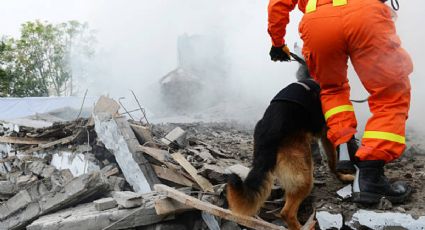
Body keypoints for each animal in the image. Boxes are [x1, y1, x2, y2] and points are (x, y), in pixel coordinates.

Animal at [227, 53, 352, 228]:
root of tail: (267, 135)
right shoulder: (327, 134)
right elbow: (333, 161)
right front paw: (342, 176)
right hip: (304, 174)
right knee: (287, 212)